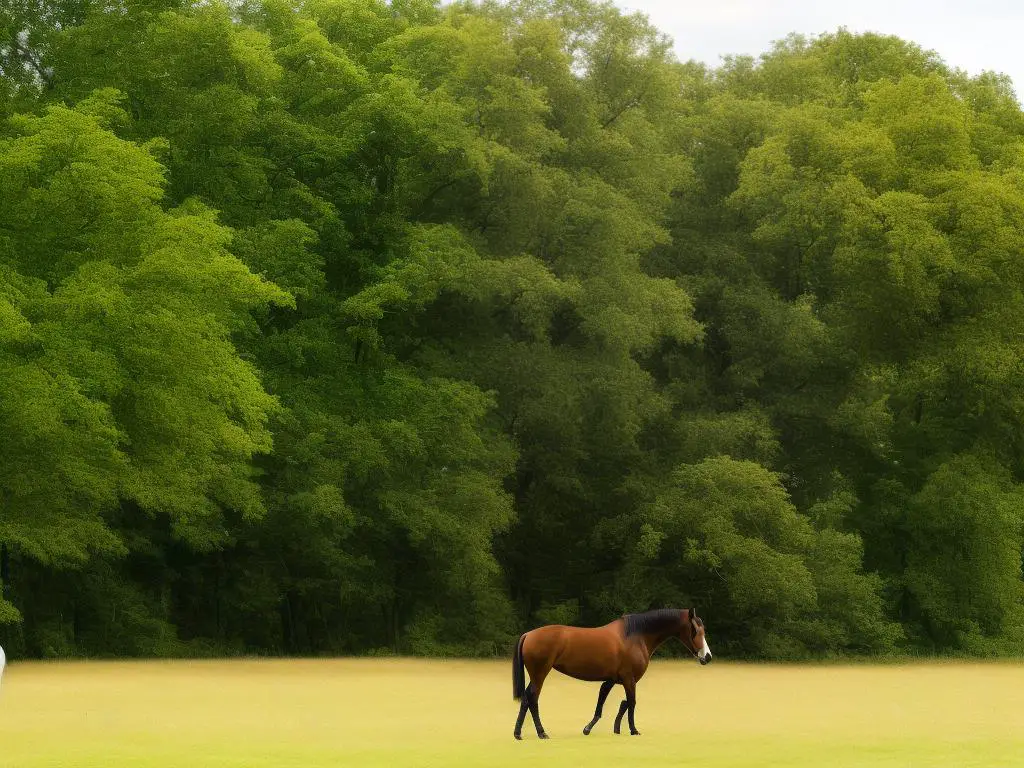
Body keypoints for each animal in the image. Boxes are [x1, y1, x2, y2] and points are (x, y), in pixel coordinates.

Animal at [512, 606, 712, 741]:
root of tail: (528, 634)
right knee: (533, 699)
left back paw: (518, 733)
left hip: (535, 675)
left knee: (526, 699)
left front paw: (593, 728)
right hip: (540, 673)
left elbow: (606, 704)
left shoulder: (611, 680)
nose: (707, 657)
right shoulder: (629, 680)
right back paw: (541, 732)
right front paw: (633, 730)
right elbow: (631, 703)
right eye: (695, 630)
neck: (635, 635)